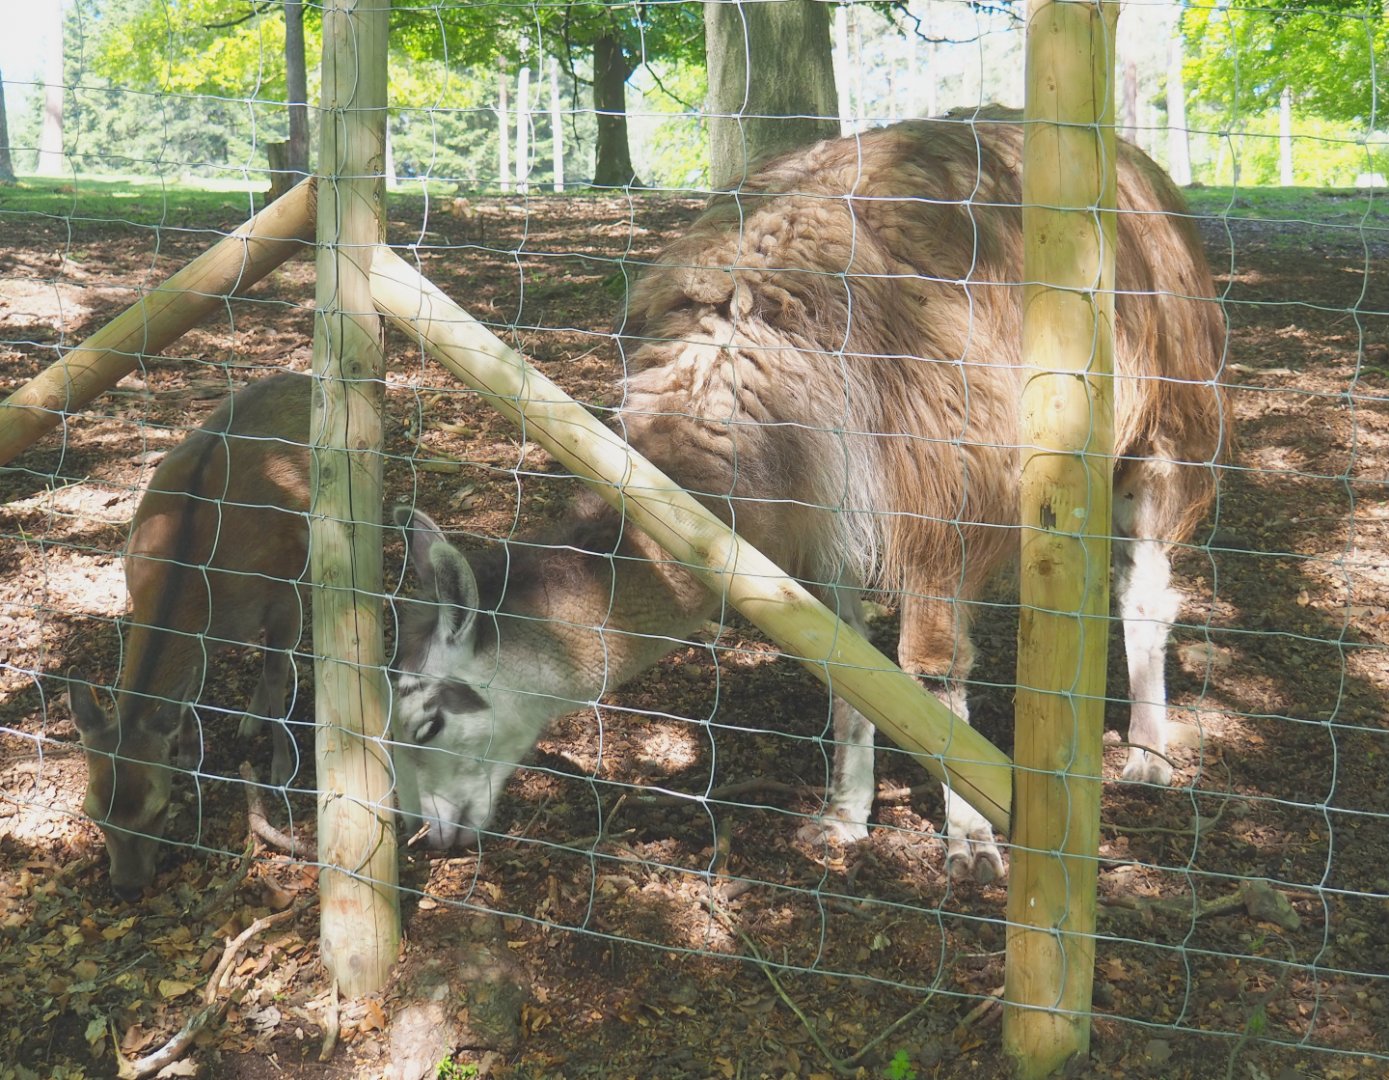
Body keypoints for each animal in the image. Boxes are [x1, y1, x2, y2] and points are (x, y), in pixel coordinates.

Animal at [70, 372, 312, 899]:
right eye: (92, 813)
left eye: (158, 810)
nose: (127, 887)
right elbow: (192, 689)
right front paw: (187, 751)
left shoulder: (283, 594)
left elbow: (277, 672)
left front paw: (282, 770)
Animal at [389, 110, 1228, 883]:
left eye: (426, 723)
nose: (433, 835)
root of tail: (1141, 167)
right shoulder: (821, 514)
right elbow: (848, 668)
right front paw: (842, 817)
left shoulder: (937, 496)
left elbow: (929, 666)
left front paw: (971, 841)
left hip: (1163, 418)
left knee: (1144, 589)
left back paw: (1147, 756)